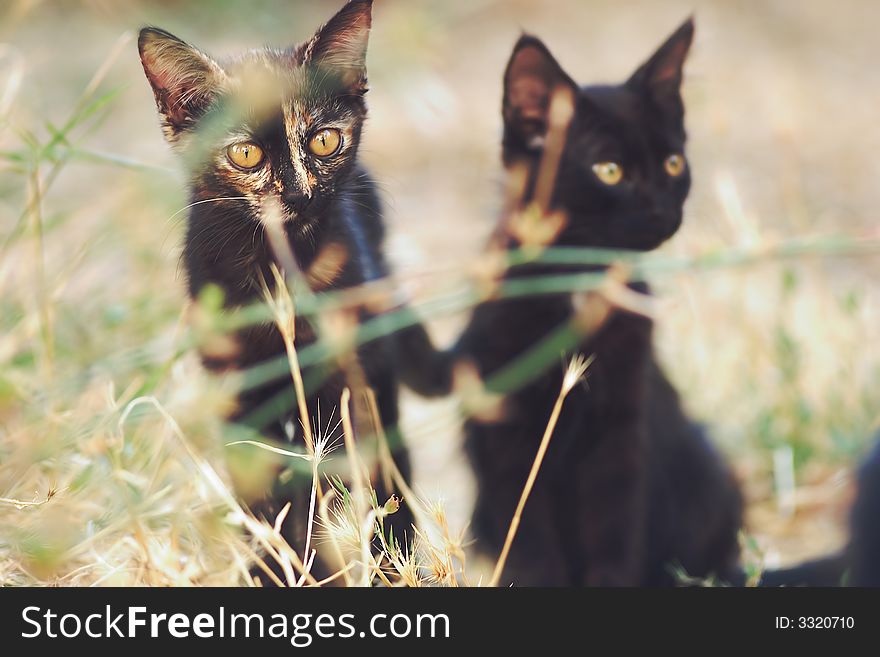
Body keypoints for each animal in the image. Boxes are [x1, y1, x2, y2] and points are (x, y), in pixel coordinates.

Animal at [137, 0, 434, 576]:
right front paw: (276, 572)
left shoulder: (345, 391)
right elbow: (265, 507)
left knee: (392, 469)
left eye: (325, 140)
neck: (278, 274)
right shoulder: (239, 400)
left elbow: (339, 492)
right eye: (246, 155)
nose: (298, 195)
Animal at [444, 19, 744, 584]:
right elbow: (531, 543)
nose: (663, 211)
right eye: (608, 171)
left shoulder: (620, 438)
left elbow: (613, 535)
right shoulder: (506, 442)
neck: (578, 285)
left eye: (674, 163)